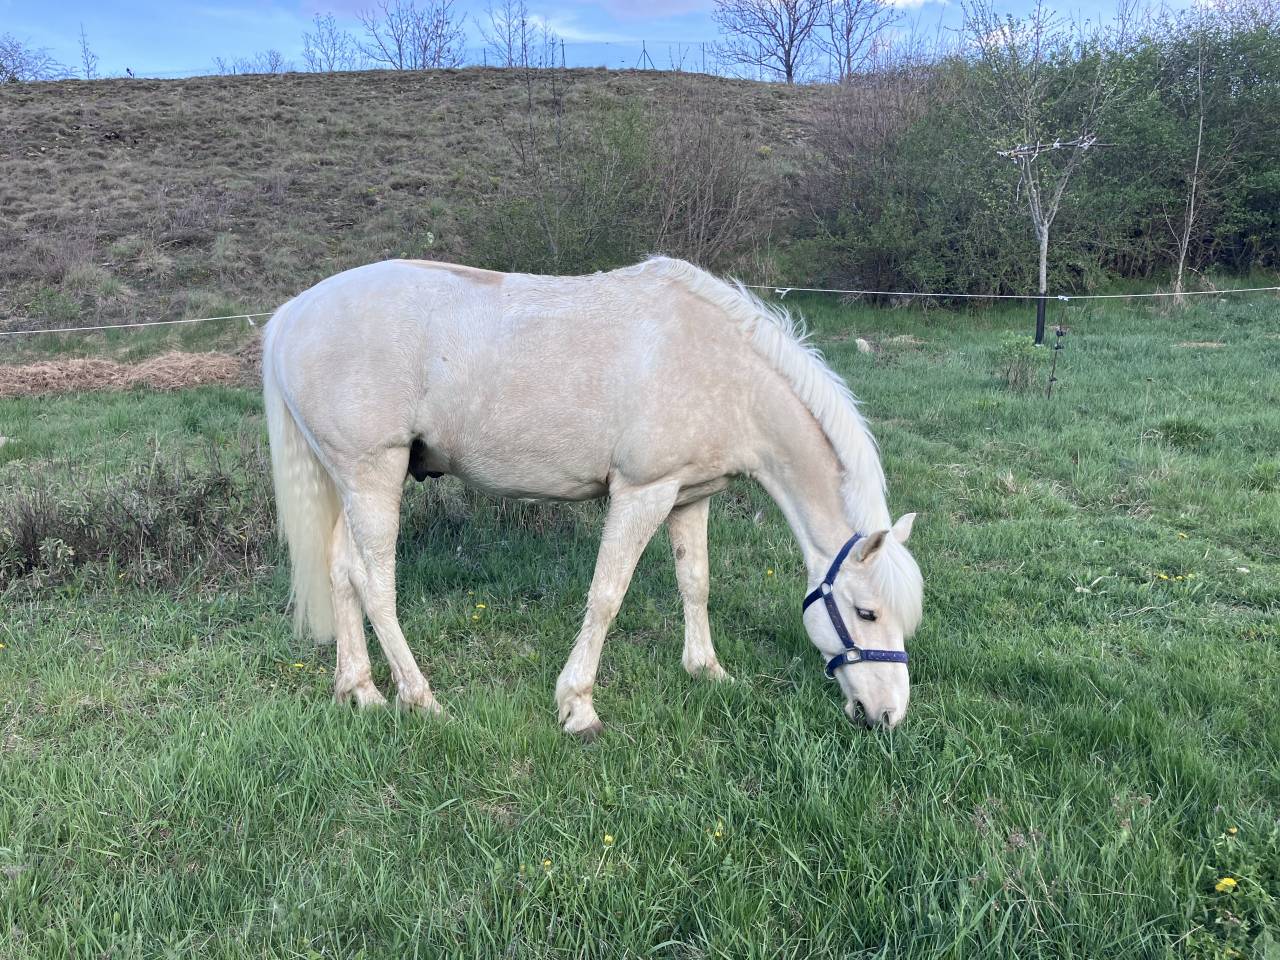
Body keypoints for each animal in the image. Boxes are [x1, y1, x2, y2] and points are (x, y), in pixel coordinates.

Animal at [262, 256, 922, 736]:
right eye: (867, 612)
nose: (888, 716)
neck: (724, 371)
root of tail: (291, 314)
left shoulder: (689, 496)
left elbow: (696, 583)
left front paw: (707, 670)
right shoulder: (642, 493)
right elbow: (607, 595)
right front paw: (577, 705)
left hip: (358, 481)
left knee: (342, 570)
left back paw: (361, 691)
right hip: (373, 475)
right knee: (375, 585)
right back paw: (420, 699)